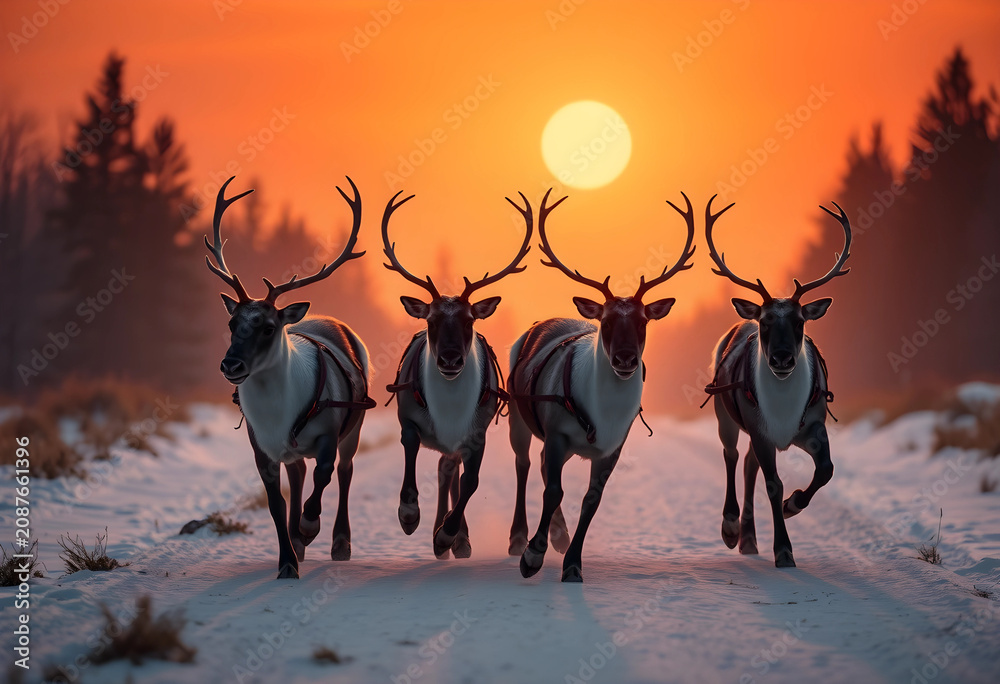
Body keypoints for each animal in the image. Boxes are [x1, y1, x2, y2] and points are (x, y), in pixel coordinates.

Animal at [205, 176, 376, 579]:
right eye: (232, 323)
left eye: (268, 327)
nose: (231, 365)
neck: (278, 416)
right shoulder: (261, 447)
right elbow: (276, 505)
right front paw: (287, 561)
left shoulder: (328, 432)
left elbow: (323, 477)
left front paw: (309, 528)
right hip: (292, 449)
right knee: (298, 471)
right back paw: (298, 544)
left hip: (356, 423)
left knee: (344, 472)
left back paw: (338, 542)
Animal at [382, 191, 530, 559]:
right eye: (431, 320)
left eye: (469, 320)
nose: (450, 358)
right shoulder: (407, 415)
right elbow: (410, 449)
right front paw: (409, 514)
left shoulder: (477, 433)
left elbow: (471, 483)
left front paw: (446, 535)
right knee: (444, 469)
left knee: (451, 471)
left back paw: (457, 540)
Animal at [507, 189, 696, 582]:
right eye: (607, 321)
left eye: (643, 322)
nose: (625, 359)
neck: (602, 415)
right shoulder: (557, 432)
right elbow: (553, 492)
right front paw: (532, 557)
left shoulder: (613, 447)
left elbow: (589, 501)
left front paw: (572, 565)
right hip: (519, 417)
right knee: (526, 465)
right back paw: (519, 539)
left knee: (545, 472)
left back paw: (559, 536)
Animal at [703, 196, 851, 568]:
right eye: (766, 321)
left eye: (800, 321)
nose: (782, 358)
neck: (783, 412)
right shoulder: (761, 430)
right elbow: (774, 484)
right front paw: (784, 550)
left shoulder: (812, 425)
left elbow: (826, 469)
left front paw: (793, 505)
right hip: (725, 413)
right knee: (731, 455)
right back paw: (731, 529)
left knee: (748, 464)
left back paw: (749, 539)